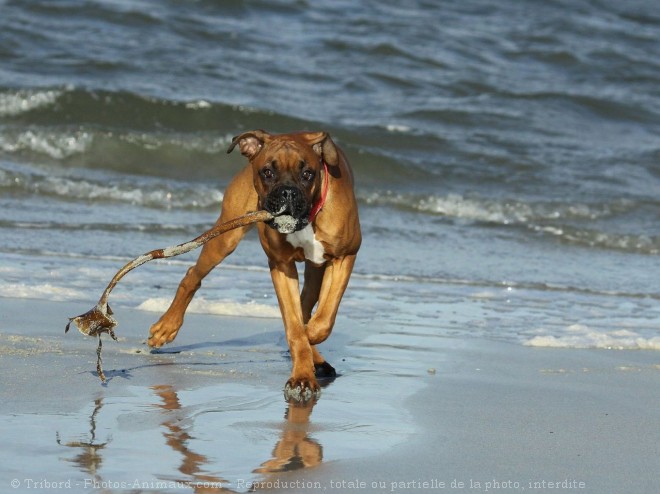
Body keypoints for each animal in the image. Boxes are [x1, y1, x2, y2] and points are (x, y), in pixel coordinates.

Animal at [148, 129, 360, 400]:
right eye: (267, 172)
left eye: (307, 174)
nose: (288, 192)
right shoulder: (281, 266)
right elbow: (295, 327)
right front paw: (302, 373)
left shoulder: (344, 257)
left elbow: (322, 320)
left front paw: (308, 346)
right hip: (225, 238)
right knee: (192, 275)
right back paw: (166, 327)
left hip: (315, 270)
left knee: (307, 306)